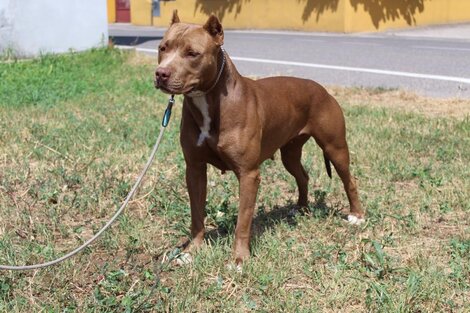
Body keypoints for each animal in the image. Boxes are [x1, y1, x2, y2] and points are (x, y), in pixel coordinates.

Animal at [154, 12, 364, 266]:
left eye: (192, 53)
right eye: (162, 48)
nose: (161, 73)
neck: (209, 99)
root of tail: (322, 89)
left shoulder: (248, 175)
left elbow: (243, 222)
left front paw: (239, 259)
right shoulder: (194, 169)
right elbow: (197, 215)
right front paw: (191, 251)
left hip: (335, 147)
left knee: (349, 179)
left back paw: (356, 215)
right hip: (290, 153)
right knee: (302, 176)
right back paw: (301, 208)